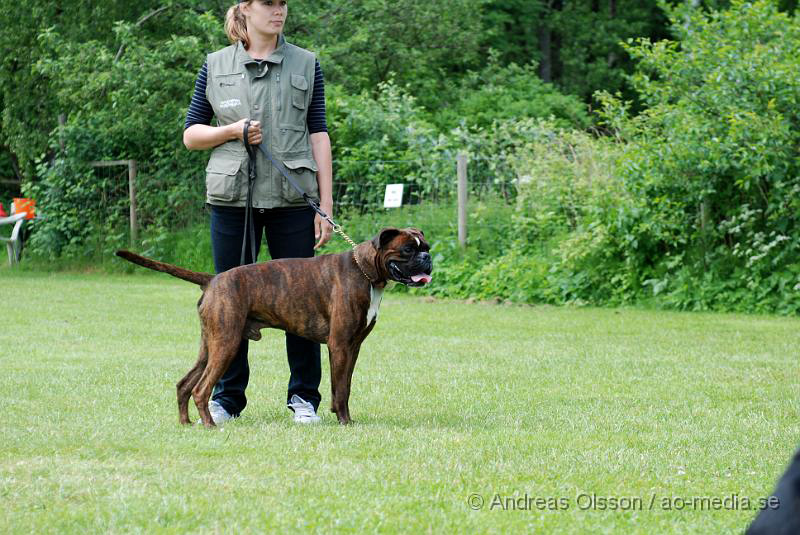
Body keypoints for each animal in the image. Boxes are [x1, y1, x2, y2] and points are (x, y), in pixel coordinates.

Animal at [114, 227, 432, 428]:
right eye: (407, 249)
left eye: (426, 248)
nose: (427, 258)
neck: (365, 272)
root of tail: (213, 279)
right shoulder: (339, 345)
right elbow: (340, 388)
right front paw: (344, 422)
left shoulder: (353, 348)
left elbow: (345, 386)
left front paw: (345, 418)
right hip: (227, 344)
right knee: (202, 388)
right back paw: (209, 425)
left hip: (210, 345)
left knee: (184, 384)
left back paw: (186, 423)